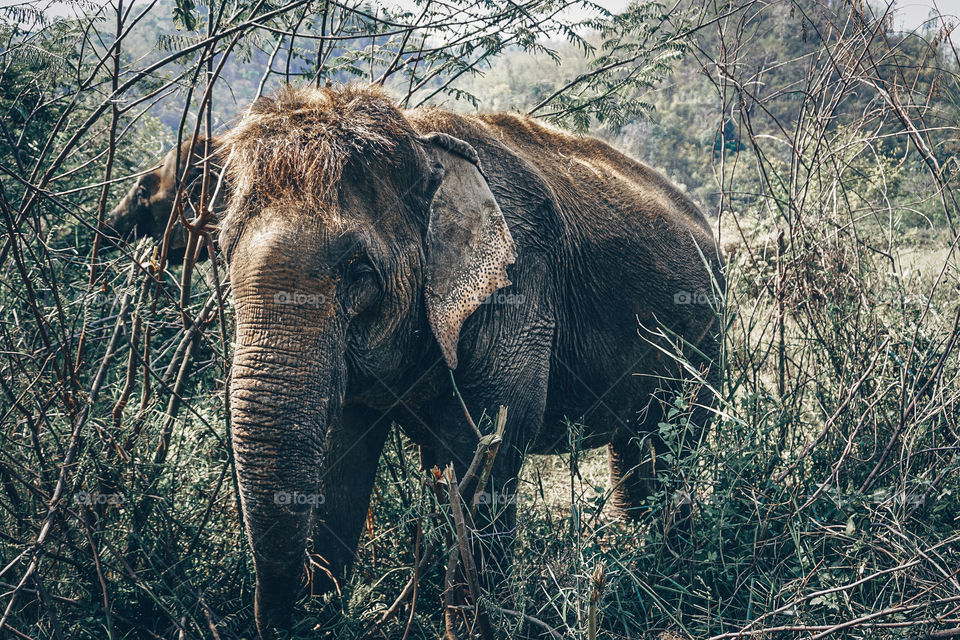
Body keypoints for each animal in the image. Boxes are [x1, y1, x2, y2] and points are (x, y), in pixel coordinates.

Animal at [218, 84, 724, 636]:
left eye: (359, 271)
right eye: (222, 253)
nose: (284, 623)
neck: (419, 137)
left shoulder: (519, 290)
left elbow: (492, 440)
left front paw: (472, 623)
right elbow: (342, 448)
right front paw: (327, 608)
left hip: (708, 344)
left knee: (676, 443)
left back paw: (666, 565)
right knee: (631, 444)